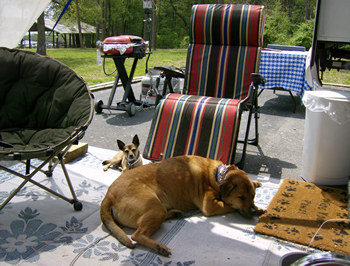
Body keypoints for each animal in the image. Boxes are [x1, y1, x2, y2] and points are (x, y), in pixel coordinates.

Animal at [100, 155, 264, 256]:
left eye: (253, 196)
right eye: (240, 197)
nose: (252, 210)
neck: (218, 174)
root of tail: (108, 195)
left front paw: (255, 184)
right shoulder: (210, 205)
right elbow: (230, 205)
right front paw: (257, 209)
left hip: (157, 208)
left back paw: (175, 213)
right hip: (155, 207)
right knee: (137, 235)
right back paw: (160, 247)